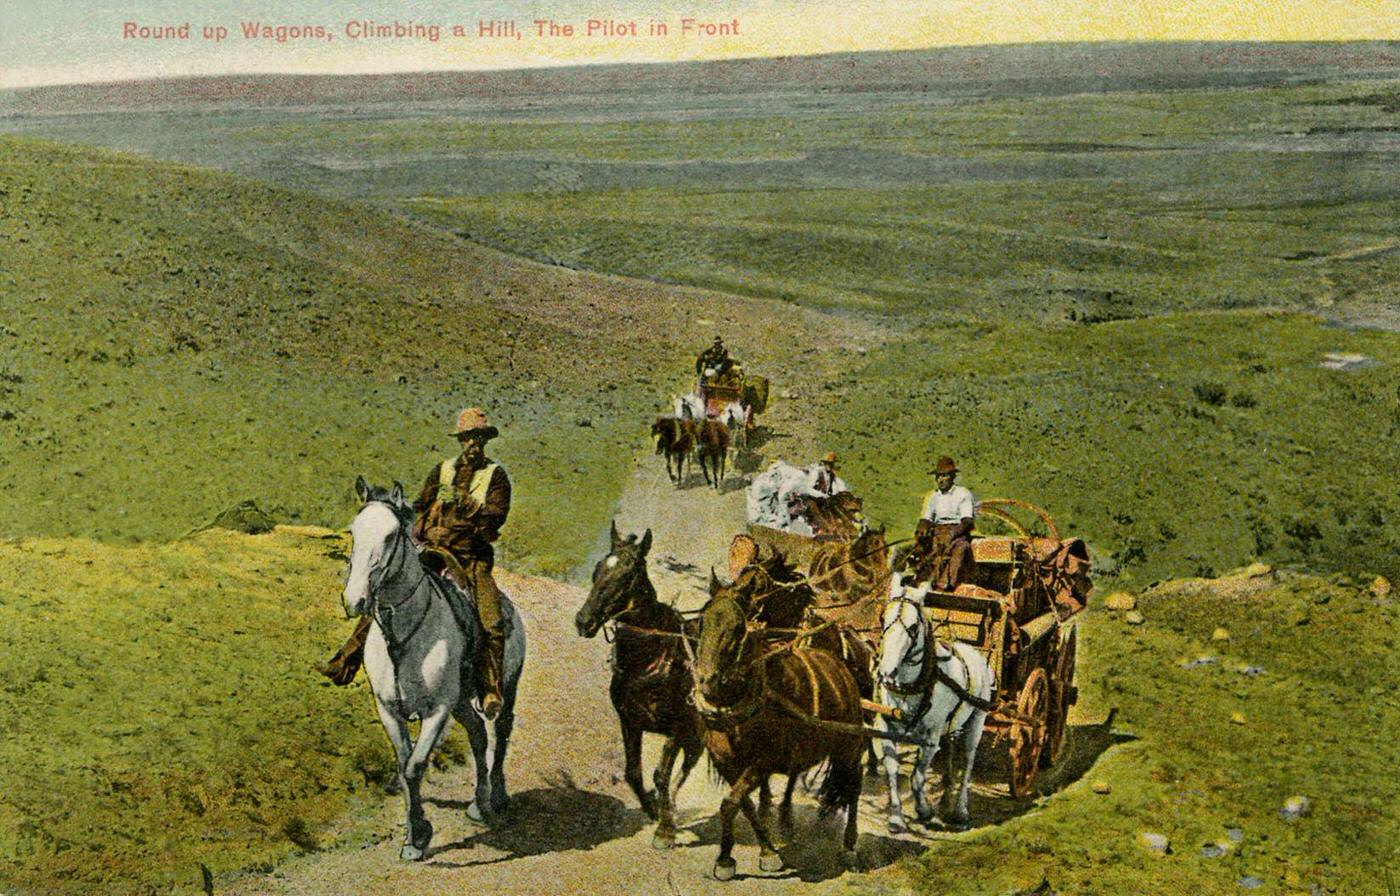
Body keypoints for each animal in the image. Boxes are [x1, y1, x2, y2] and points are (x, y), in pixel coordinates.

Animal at [341, 478, 526, 856]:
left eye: (390, 535)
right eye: (353, 531)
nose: (355, 601)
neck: (403, 638)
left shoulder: (437, 710)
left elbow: (415, 767)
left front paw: (418, 836)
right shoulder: (389, 710)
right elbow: (404, 765)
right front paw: (415, 833)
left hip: (507, 688)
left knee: (500, 732)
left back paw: (498, 796)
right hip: (461, 703)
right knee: (478, 735)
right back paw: (478, 804)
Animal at [571, 520, 700, 845]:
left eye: (628, 575)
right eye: (598, 569)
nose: (584, 621)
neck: (650, 660)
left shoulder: (678, 726)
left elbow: (662, 774)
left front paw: (664, 830)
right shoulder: (629, 721)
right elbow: (634, 773)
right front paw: (655, 810)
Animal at [691, 571, 862, 879]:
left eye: (738, 628)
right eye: (702, 621)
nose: (706, 681)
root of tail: (842, 669)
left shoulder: (761, 762)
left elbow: (730, 804)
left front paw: (725, 859)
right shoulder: (726, 763)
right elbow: (744, 805)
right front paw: (766, 851)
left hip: (849, 748)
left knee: (854, 786)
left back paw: (849, 847)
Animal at [873, 574, 996, 834]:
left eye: (913, 627)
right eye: (883, 619)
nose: (886, 672)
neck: (914, 684)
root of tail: (973, 651)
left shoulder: (931, 736)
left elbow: (917, 777)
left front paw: (924, 809)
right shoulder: (886, 727)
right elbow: (893, 769)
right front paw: (896, 817)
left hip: (977, 719)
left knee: (968, 760)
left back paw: (960, 810)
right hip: (952, 725)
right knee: (951, 751)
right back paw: (946, 796)